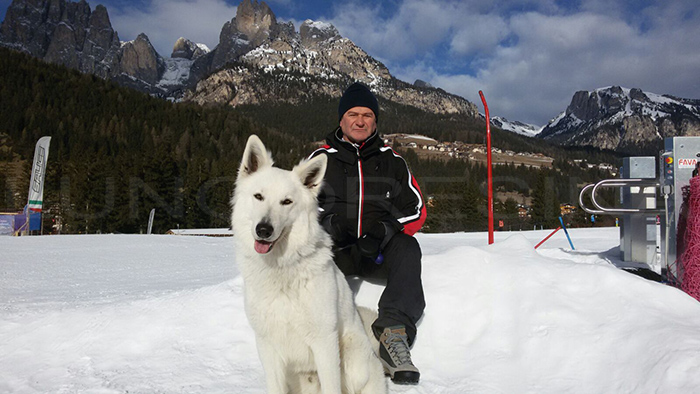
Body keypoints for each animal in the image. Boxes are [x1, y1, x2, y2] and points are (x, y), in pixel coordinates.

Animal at [234, 135, 388, 394]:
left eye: (286, 202)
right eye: (258, 196)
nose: (264, 230)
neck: (282, 268)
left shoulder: (324, 342)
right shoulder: (267, 344)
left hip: (352, 362)